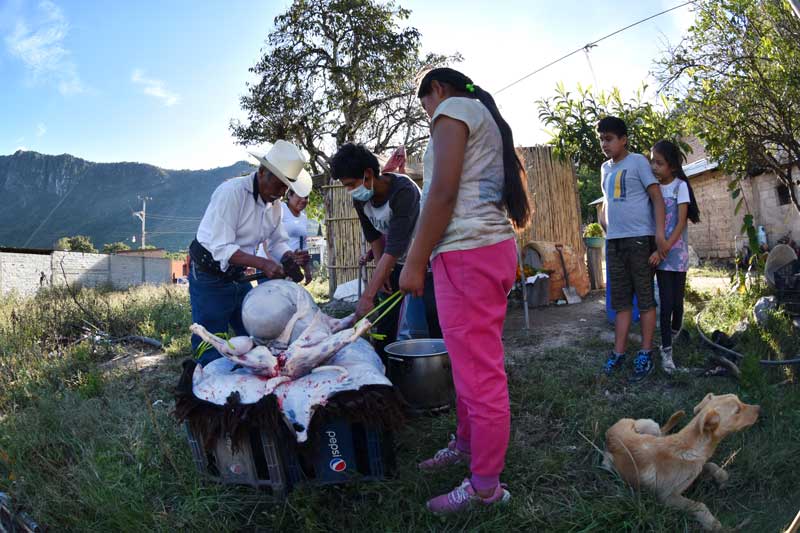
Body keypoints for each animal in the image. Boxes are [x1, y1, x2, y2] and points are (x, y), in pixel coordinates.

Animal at [604, 390, 760, 528]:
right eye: (737, 411)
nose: (759, 408)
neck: (689, 446)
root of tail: (610, 431)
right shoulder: (667, 497)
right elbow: (699, 505)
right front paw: (713, 524)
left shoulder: (697, 468)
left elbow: (713, 466)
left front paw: (721, 479)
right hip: (608, 462)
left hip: (651, 426)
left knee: (661, 431)